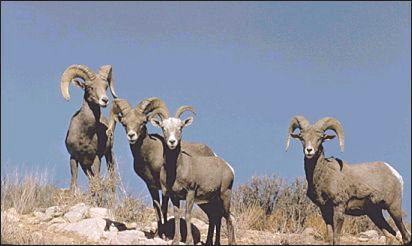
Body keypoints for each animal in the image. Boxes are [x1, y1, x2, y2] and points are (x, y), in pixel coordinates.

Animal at [60, 64, 117, 196]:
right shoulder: (74, 158)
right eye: (90, 87)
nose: (105, 100)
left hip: (108, 155)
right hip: (85, 165)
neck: (84, 135)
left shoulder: (96, 157)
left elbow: (97, 182)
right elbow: (73, 182)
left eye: (105, 86)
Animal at [106, 97, 216, 238]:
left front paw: (164, 234)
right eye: (124, 123)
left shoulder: (165, 188)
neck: (148, 156)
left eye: (142, 122)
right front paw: (158, 234)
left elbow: (163, 208)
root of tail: (212, 154)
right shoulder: (151, 186)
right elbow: (156, 208)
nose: (131, 136)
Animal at [150, 106, 235, 246]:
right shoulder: (174, 196)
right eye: (163, 128)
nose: (172, 142)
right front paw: (175, 240)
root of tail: (229, 168)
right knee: (216, 216)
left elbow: (188, 214)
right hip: (211, 200)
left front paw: (189, 241)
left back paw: (231, 242)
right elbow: (177, 215)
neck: (176, 170)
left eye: (180, 127)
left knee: (228, 217)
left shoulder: (190, 192)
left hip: (225, 195)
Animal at [284, 116, 410, 245]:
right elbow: (330, 237)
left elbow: (336, 238)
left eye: (320, 138)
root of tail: (395, 174)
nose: (309, 150)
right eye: (302, 138)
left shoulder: (339, 207)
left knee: (405, 235)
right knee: (391, 235)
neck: (324, 175)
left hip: (393, 209)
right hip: (375, 213)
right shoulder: (325, 211)